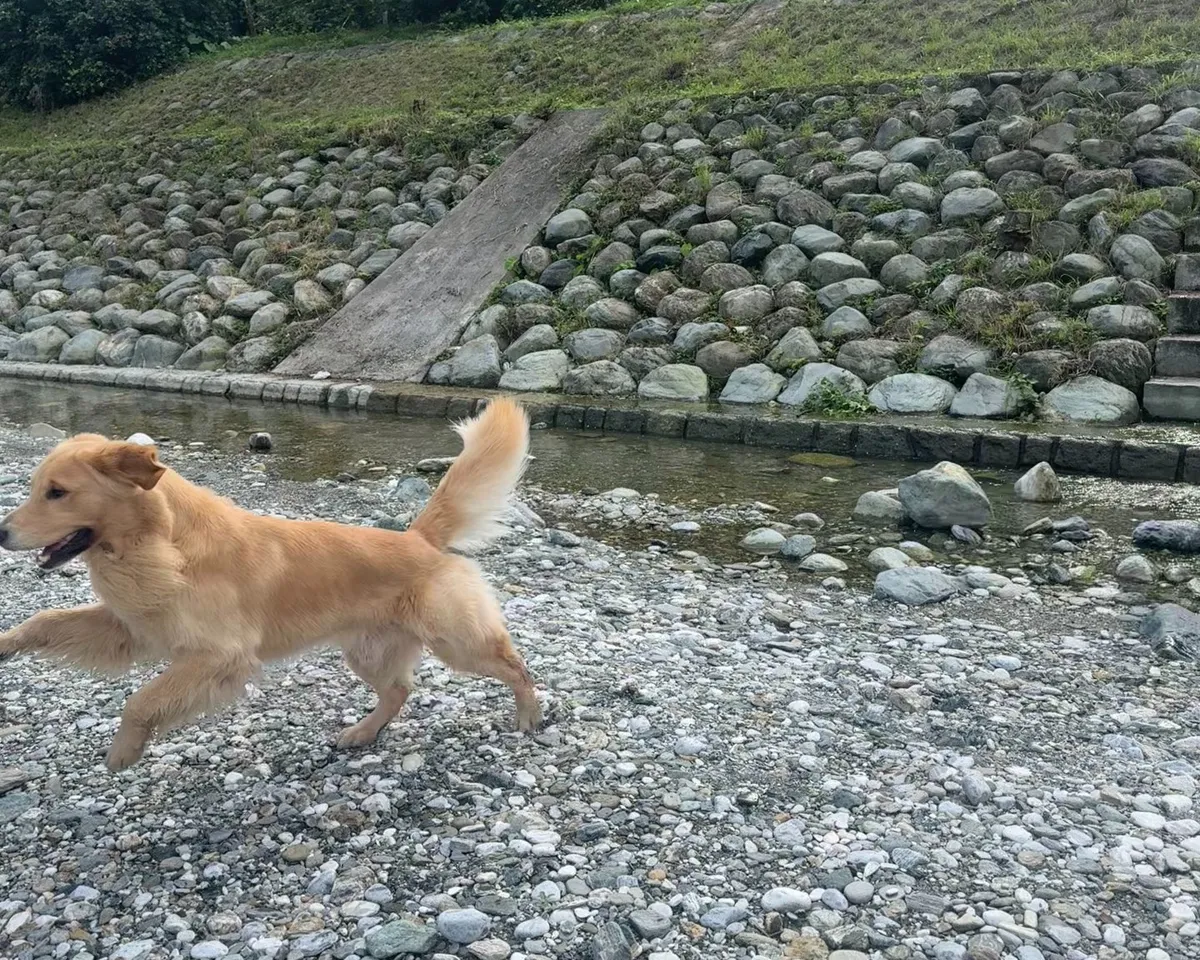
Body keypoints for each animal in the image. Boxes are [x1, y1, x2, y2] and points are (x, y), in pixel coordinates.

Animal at [0, 397, 542, 771]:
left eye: (57, 493)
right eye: (37, 488)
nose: (1, 533)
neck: (161, 543)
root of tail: (419, 538)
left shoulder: (219, 655)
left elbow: (141, 701)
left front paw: (123, 753)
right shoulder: (131, 627)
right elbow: (46, 619)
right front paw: (7, 643)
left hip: (456, 640)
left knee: (516, 666)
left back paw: (529, 716)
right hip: (367, 650)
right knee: (398, 691)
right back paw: (362, 733)